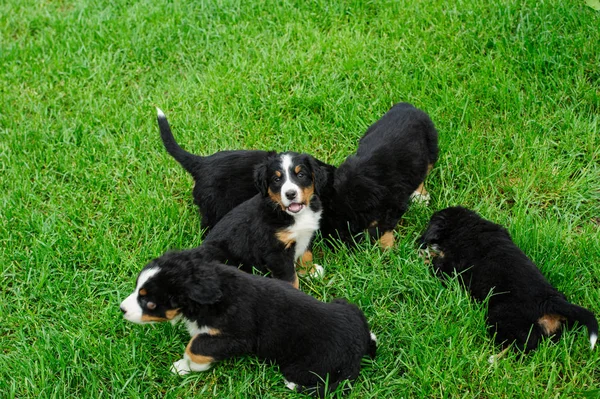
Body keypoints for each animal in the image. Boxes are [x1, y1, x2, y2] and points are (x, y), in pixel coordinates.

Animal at [119, 258, 378, 398]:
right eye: (137, 289)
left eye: (151, 303)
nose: (121, 309)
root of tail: (356, 353)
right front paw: (183, 367)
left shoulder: (237, 336)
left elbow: (196, 345)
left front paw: (190, 365)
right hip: (346, 305)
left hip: (302, 366)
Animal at [318, 101, 440, 248]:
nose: (333, 246)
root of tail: (406, 105)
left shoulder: (394, 204)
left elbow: (383, 227)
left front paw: (387, 248)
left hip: (431, 144)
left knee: (426, 168)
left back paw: (420, 196)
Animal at [420, 206, 596, 356]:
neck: (468, 226)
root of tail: (550, 301)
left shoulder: (451, 270)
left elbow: (437, 264)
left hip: (502, 317)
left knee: (523, 344)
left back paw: (493, 359)